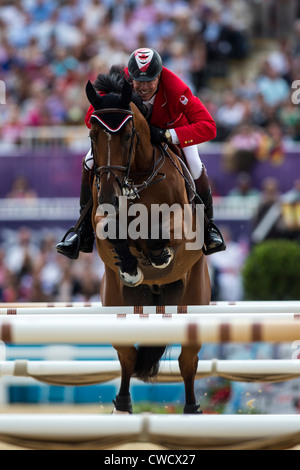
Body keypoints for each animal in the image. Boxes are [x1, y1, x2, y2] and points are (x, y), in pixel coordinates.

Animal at [84, 70, 211, 414]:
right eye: (92, 136)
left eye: (129, 135)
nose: (109, 196)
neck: (137, 178)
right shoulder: (101, 223)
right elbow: (114, 233)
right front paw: (131, 266)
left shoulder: (183, 226)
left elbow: (161, 235)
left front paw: (157, 255)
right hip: (118, 303)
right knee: (127, 356)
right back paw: (123, 404)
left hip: (193, 299)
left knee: (187, 361)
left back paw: (192, 409)